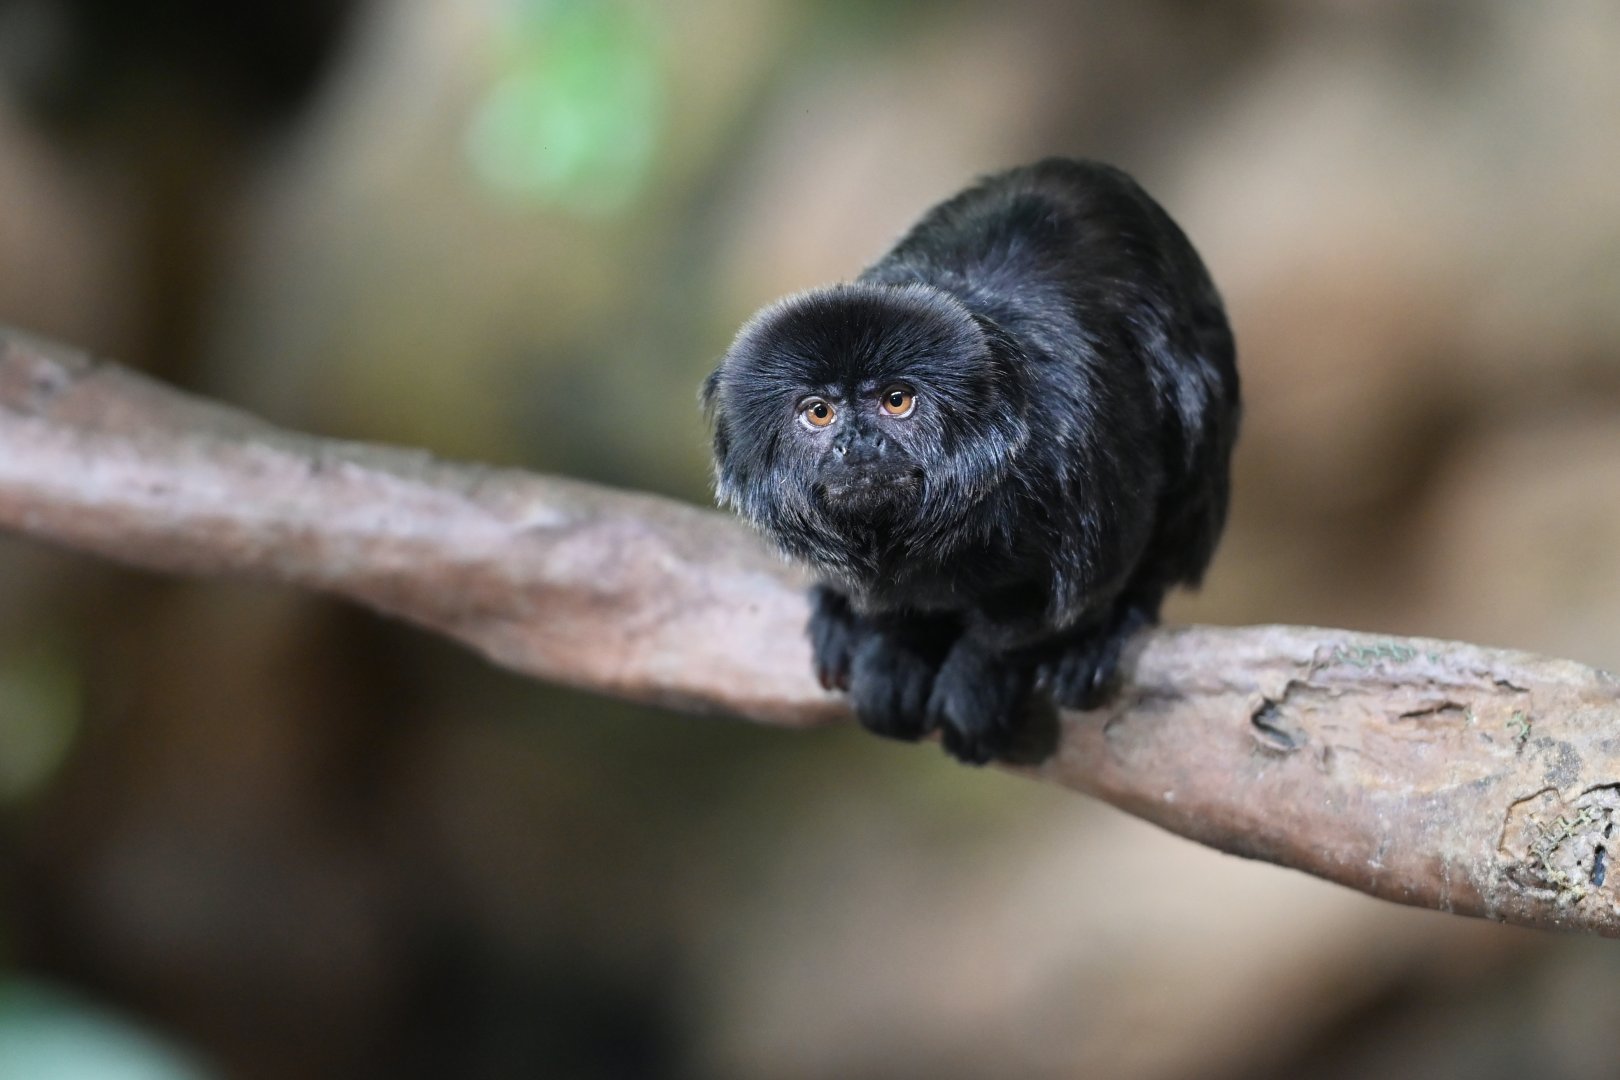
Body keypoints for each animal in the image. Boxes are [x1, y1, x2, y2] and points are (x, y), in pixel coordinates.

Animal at [702, 158, 1239, 765]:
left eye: (897, 400)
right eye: (818, 412)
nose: (857, 444)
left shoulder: (1081, 452)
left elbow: (1070, 595)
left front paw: (984, 669)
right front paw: (894, 645)